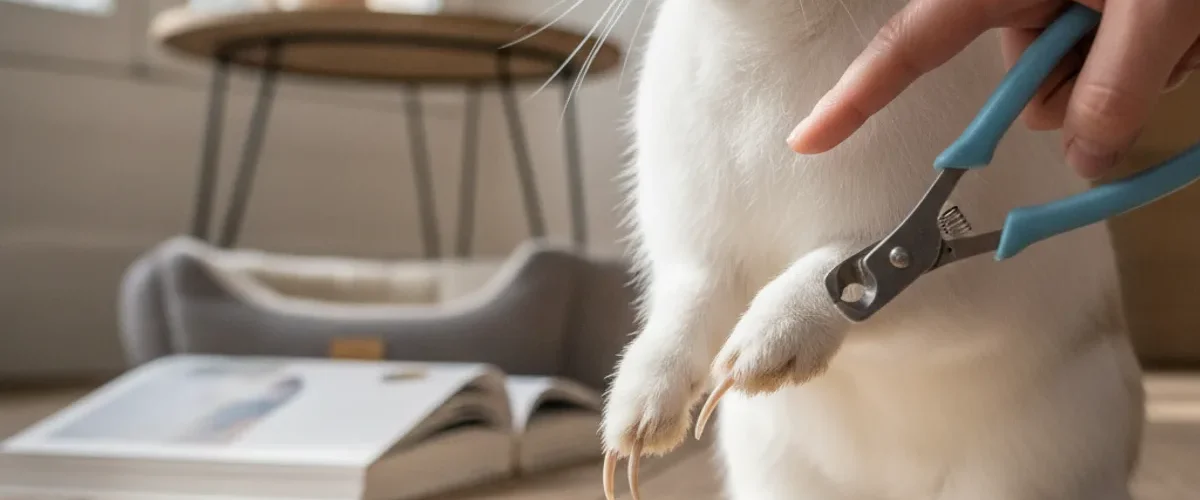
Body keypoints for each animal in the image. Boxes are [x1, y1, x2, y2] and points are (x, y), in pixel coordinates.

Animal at [600, 0, 1146, 499]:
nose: (635, 431)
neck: (771, 30)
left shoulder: (955, 282)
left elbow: (833, 276)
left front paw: (761, 354)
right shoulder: (697, 262)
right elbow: (683, 317)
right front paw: (635, 425)